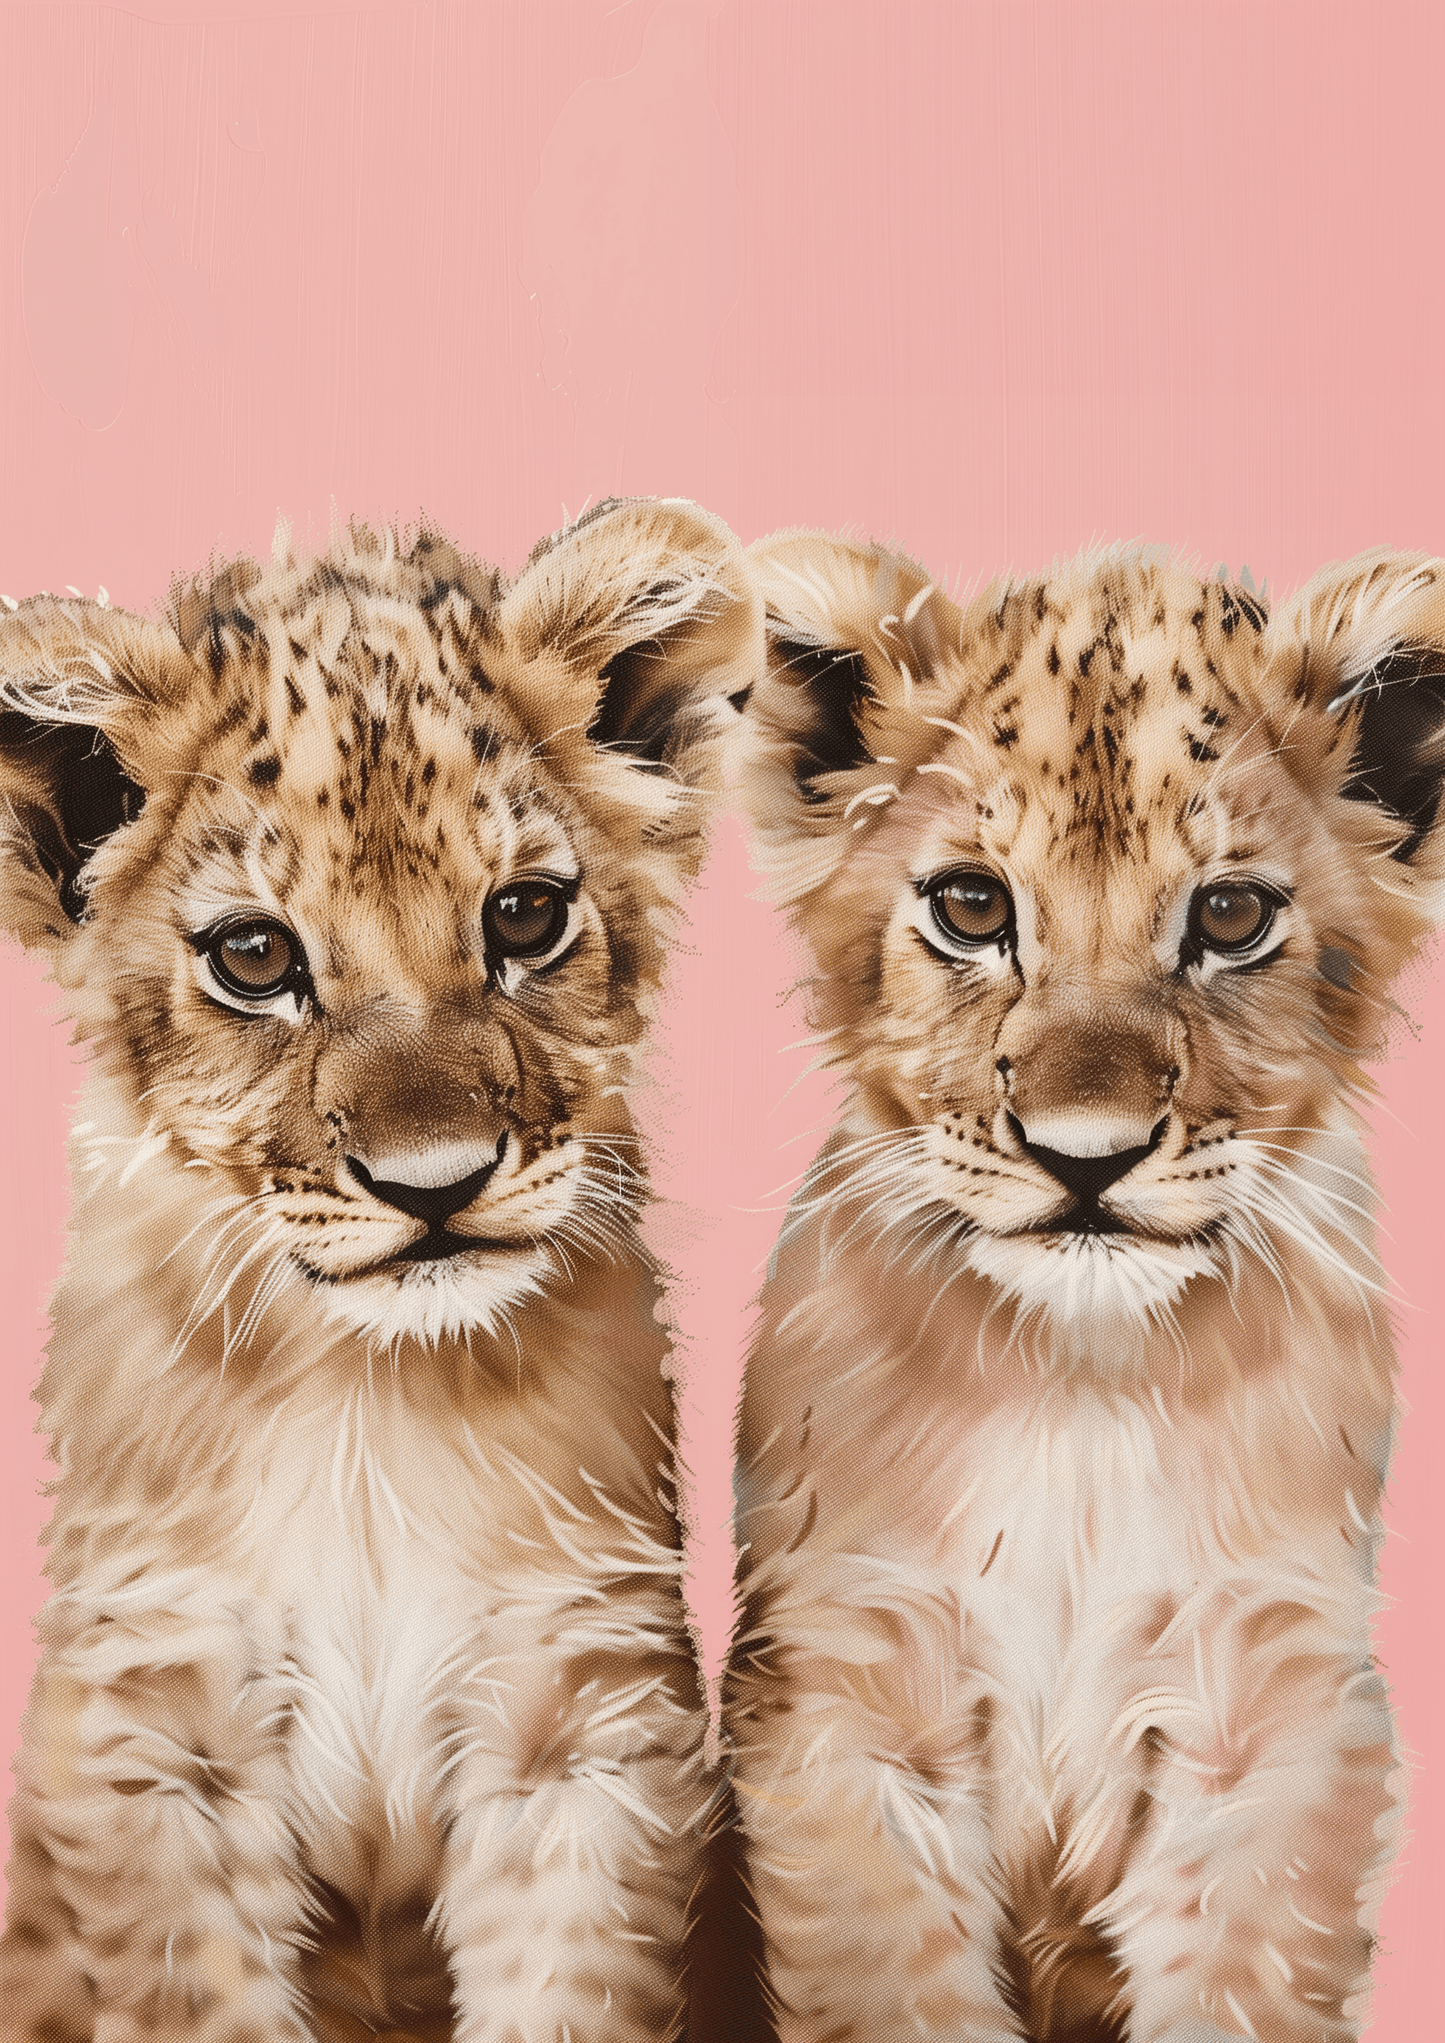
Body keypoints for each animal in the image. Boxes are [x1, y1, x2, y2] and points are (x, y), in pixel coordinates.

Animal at [0, 498, 762, 2043]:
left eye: (523, 917)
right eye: (253, 955)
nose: (435, 1183)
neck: (366, 1397)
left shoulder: (583, 1729)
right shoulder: (150, 1735)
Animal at [724, 534, 1445, 2042]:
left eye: (1227, 915)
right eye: (972, 906)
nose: (1084, 1154)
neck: (1082, 1377)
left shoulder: (1273, 1706)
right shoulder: (842, 1691)